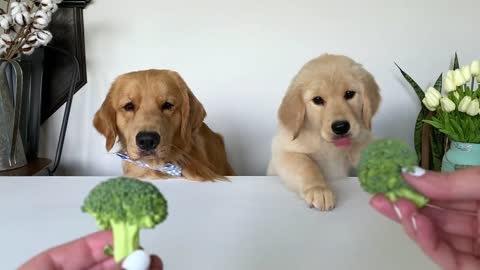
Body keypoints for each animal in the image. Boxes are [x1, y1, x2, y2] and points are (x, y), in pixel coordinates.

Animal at [268, 53, 380, 211]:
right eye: (317, 100)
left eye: (349, 94)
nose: (341, 127)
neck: (329, 145)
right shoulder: (284, 151)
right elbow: (306, 166)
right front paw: (319, 189)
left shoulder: (363, 139)